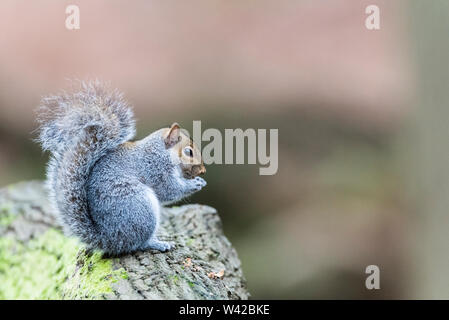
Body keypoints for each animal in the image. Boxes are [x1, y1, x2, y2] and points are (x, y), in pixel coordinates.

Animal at [36, 81, 206, 256]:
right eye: (189, 152)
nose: (202, 170)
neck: (160, 152)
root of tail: (110, 239)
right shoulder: (156, 170)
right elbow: (169, 190)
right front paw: (194, 184)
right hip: (140, 207)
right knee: (138, 243)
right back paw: (157, 243)